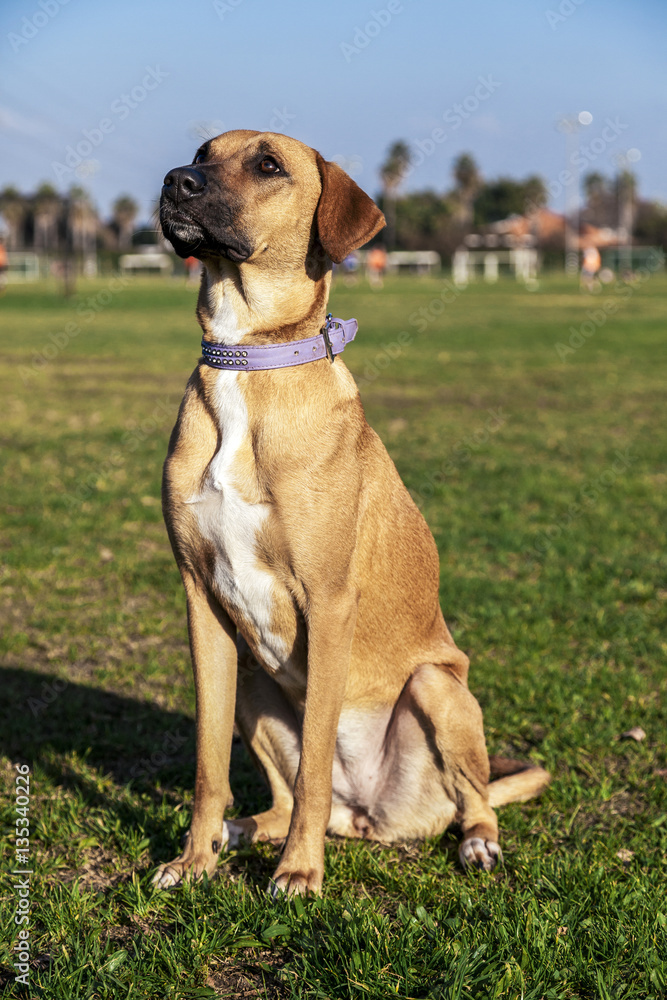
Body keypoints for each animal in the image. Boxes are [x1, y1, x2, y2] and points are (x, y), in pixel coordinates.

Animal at [154, 129, 552, 896]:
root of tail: (367, 816)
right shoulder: (200, 602)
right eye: (202, 150)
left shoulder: (328, 602)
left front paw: (300, 873)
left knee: (471, 798)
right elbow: (208, 767)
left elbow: (313, 761)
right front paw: (193, 860)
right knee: (282, 799)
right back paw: (238, 832)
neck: (247, 359)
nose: (174, 180)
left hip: (438, 688)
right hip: (253, 681)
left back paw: (476, 842)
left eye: (268, 164)